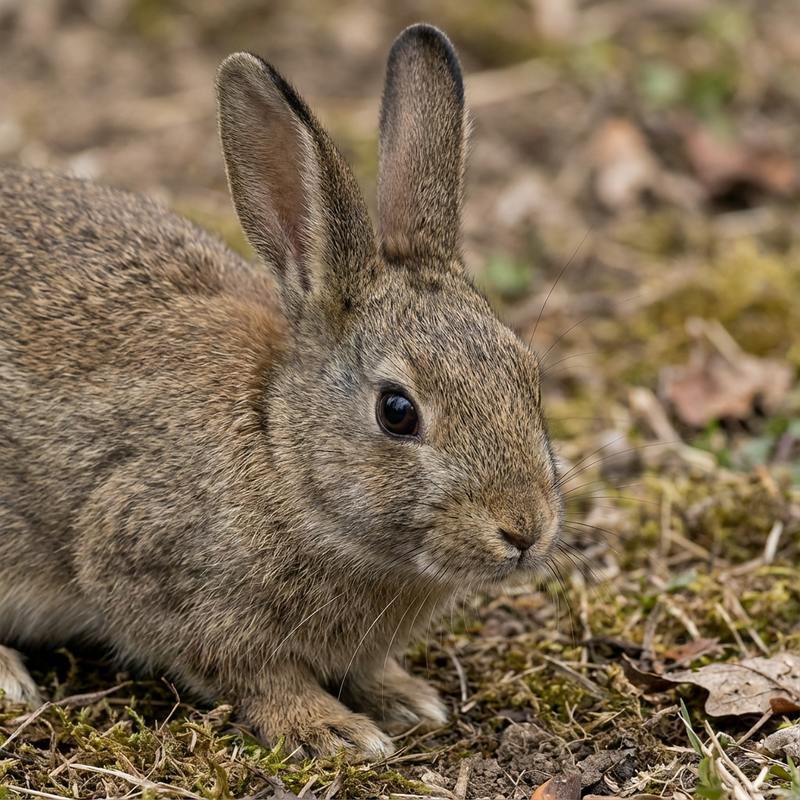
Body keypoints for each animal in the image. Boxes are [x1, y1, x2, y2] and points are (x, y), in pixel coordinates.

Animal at [0, 23, 563, 759]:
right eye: (397, 412)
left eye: (528, 376)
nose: (525, 530)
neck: (280, 451)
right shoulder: (146, 569)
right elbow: (253, 674)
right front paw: (331, 730)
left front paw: (406, 698)